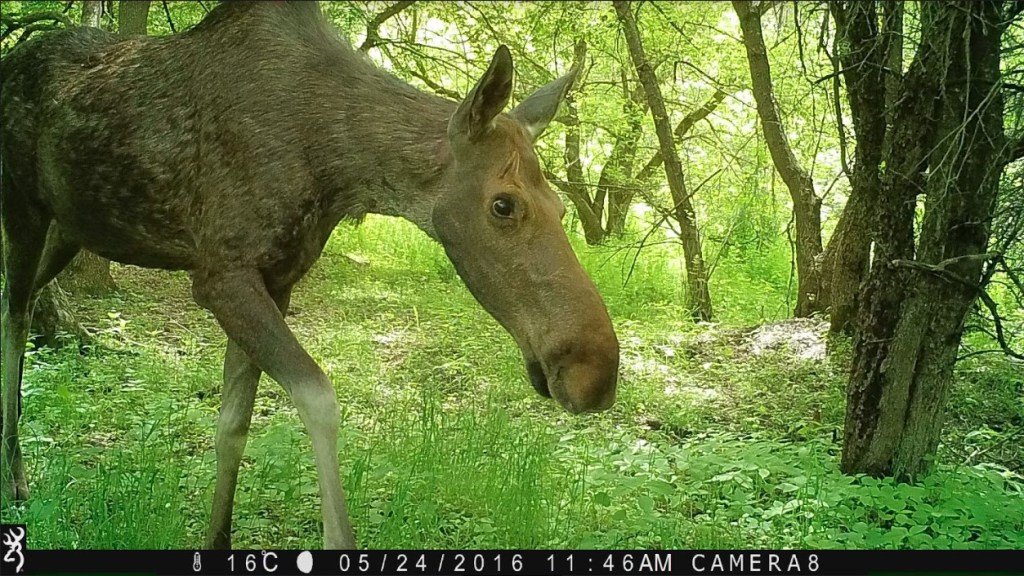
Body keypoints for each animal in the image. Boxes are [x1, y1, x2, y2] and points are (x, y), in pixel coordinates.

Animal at [0, 1, 619, 549]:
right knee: (14, 315)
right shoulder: (220, 274)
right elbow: (317, 395)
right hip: (23, 211)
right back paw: (17, 476)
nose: (596, 372)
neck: (334, 168)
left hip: (70, 229)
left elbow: (232, 425)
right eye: (504, 204)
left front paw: (216, 539)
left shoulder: (276, 279)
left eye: (561, 207)